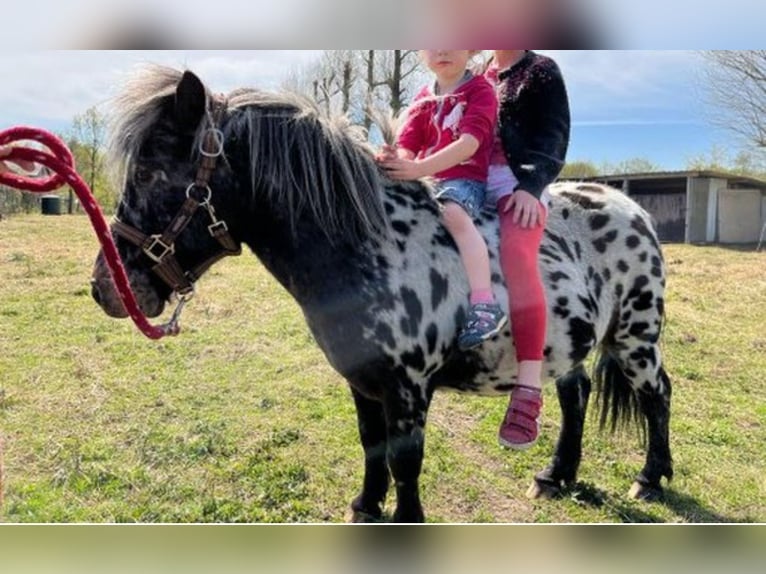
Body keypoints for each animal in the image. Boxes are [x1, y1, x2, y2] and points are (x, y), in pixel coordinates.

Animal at [91, 67, 673, 522]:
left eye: (151, 172)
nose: (106, 288)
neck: (372, 246)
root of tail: (632, 208)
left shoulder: (409, 389)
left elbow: (404, 463)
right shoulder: (362, 379)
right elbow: (372, 448)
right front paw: (365, 507)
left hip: (635, 338)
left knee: (656, 395)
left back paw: (650, 478)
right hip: (568, 344)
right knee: (577, 397)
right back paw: (556, 475)